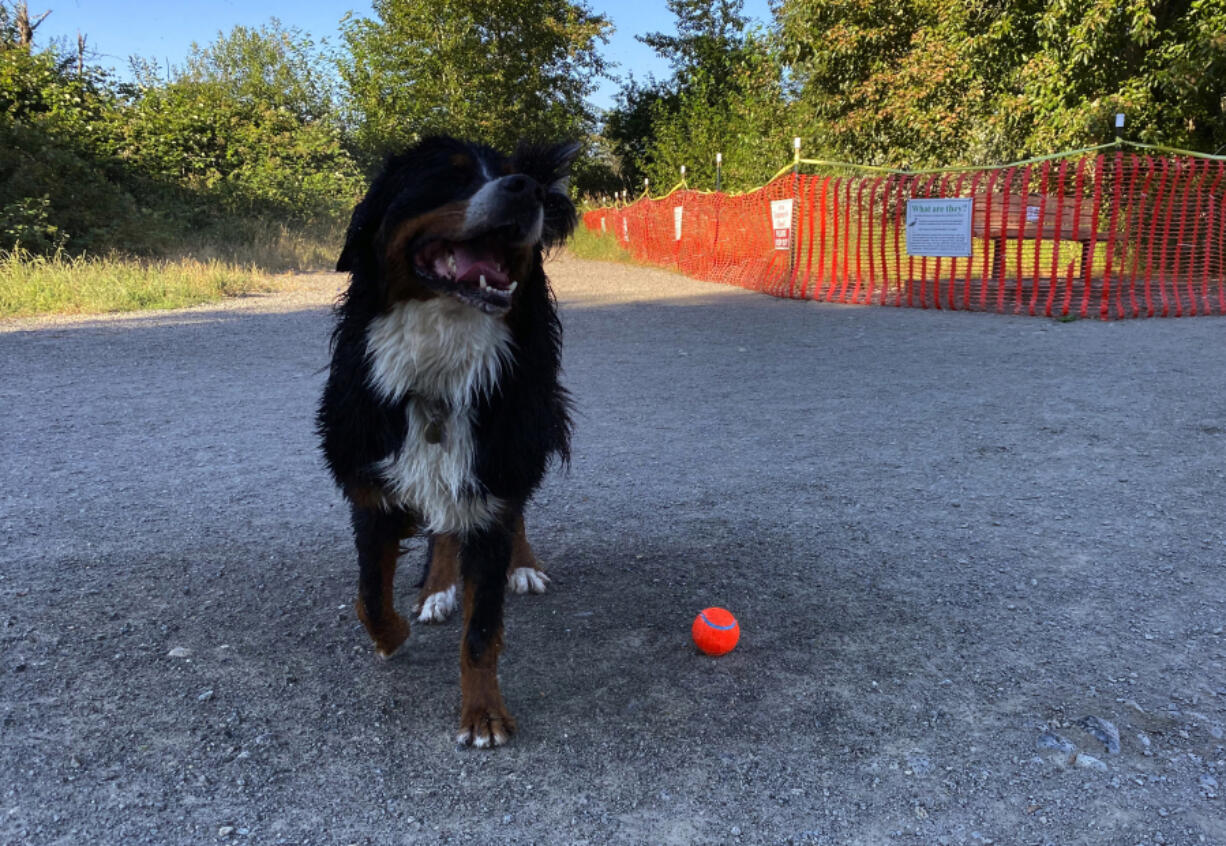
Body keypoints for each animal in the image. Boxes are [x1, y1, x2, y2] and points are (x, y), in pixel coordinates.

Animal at [321, 136, 578, 745]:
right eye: (448, 176)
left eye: (510, 175)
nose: (526, 190)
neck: (440, 367)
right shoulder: (372, 487)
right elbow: (370, 598)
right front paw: (393, 637)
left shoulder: (494, 476)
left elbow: (481, 632)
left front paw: (483, 714)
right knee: (442, 527)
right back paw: (436, 589)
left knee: (513, 511)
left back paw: (522, 565)